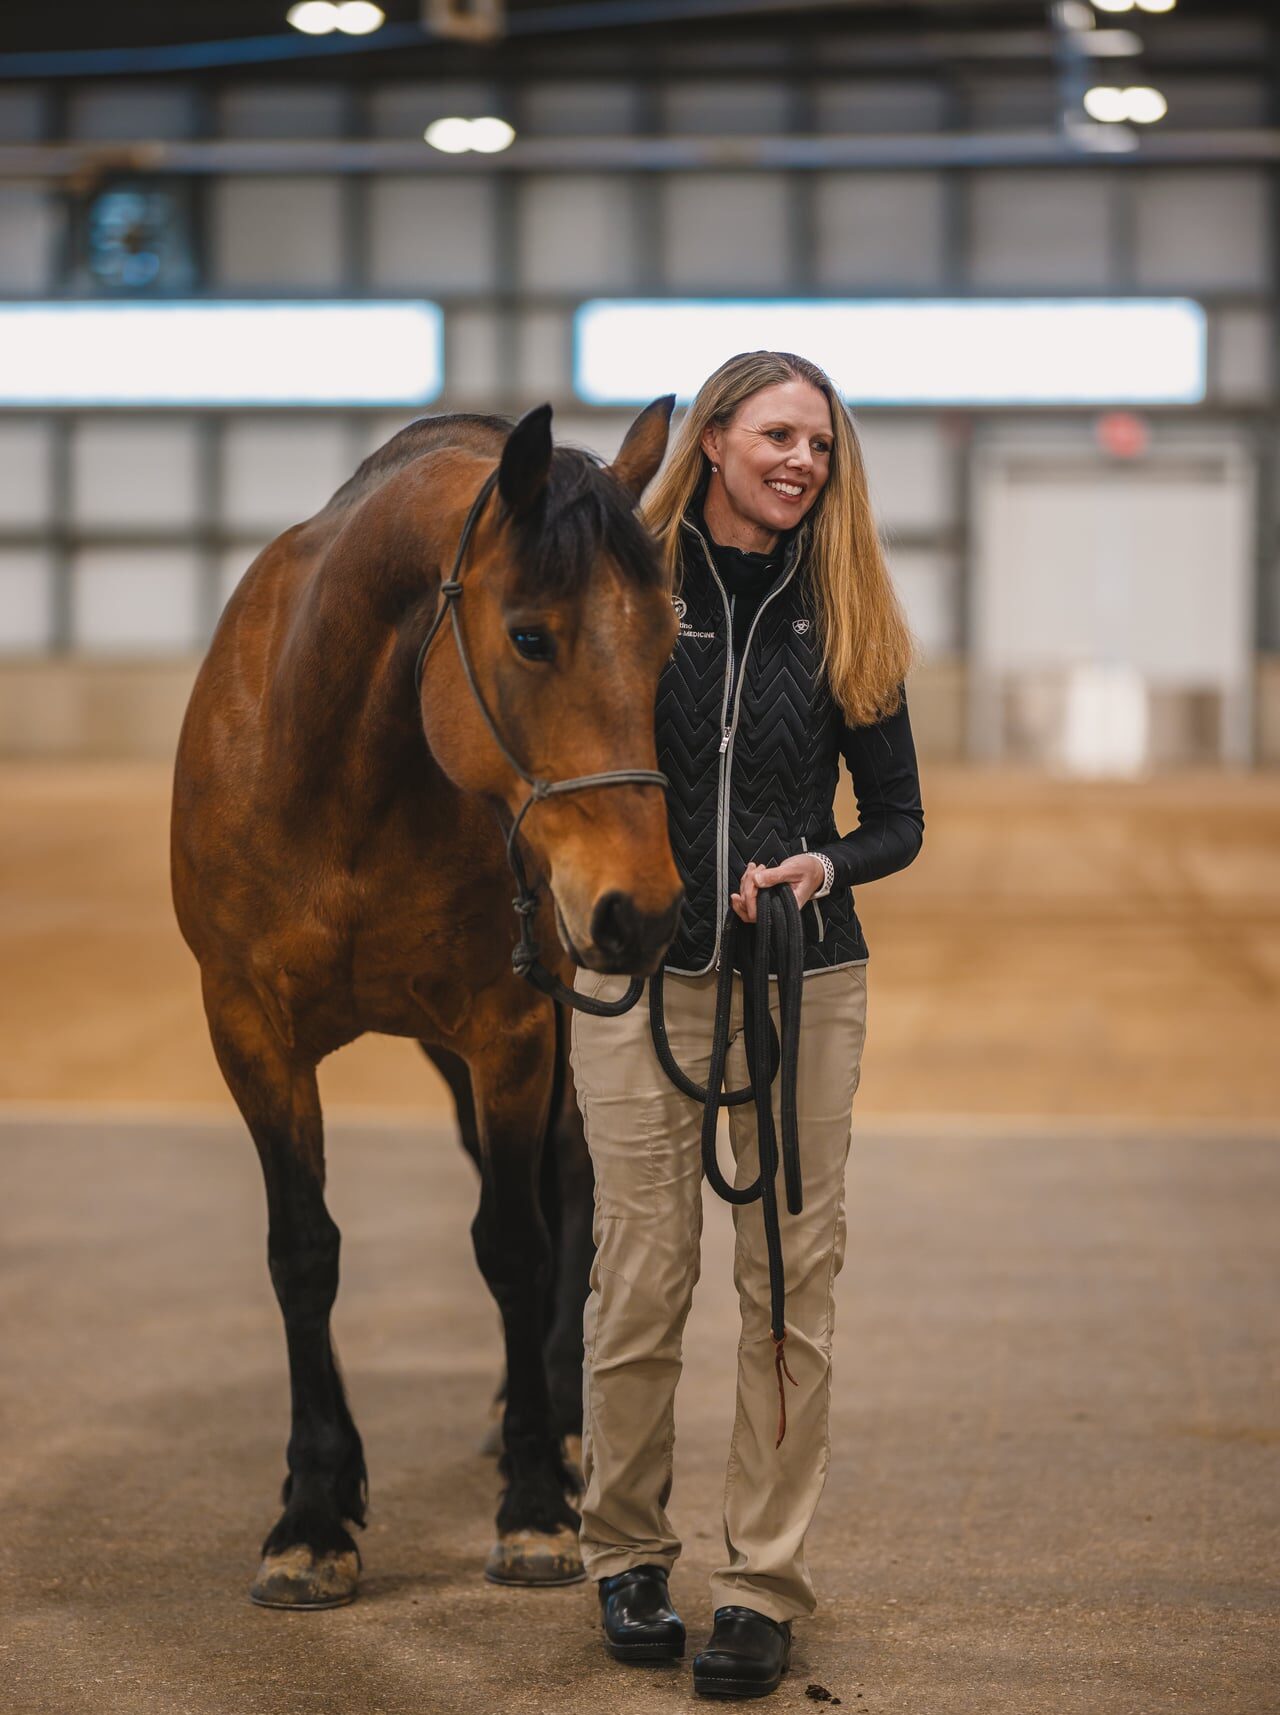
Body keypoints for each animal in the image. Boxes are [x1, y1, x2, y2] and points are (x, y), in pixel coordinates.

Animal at [170, 398, 684, 1606]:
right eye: (531, 636)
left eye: (666, 640)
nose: (640, 911)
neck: (342, 770)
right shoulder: (249, 1028)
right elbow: (302, 1248)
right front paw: (313, 1507)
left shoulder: (510, 1028)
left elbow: (513, 1241)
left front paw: (535, 1507)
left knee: (571, 1186)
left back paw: (560, 1419)